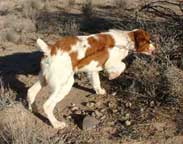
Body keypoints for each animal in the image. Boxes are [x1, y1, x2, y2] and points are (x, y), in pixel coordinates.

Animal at [27, 29, 155, 128]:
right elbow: (122, 66)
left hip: (44, 78)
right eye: (148, 41)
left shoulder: (93, 69)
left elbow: (96, 82)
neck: (124, 40)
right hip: (65, 83)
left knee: (30, 91)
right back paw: (56, 124)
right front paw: (112, 75)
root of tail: (50, 49)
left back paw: (32, 108)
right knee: (47, 105)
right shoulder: (110, 62)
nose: (154, 49)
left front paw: (99, 91)